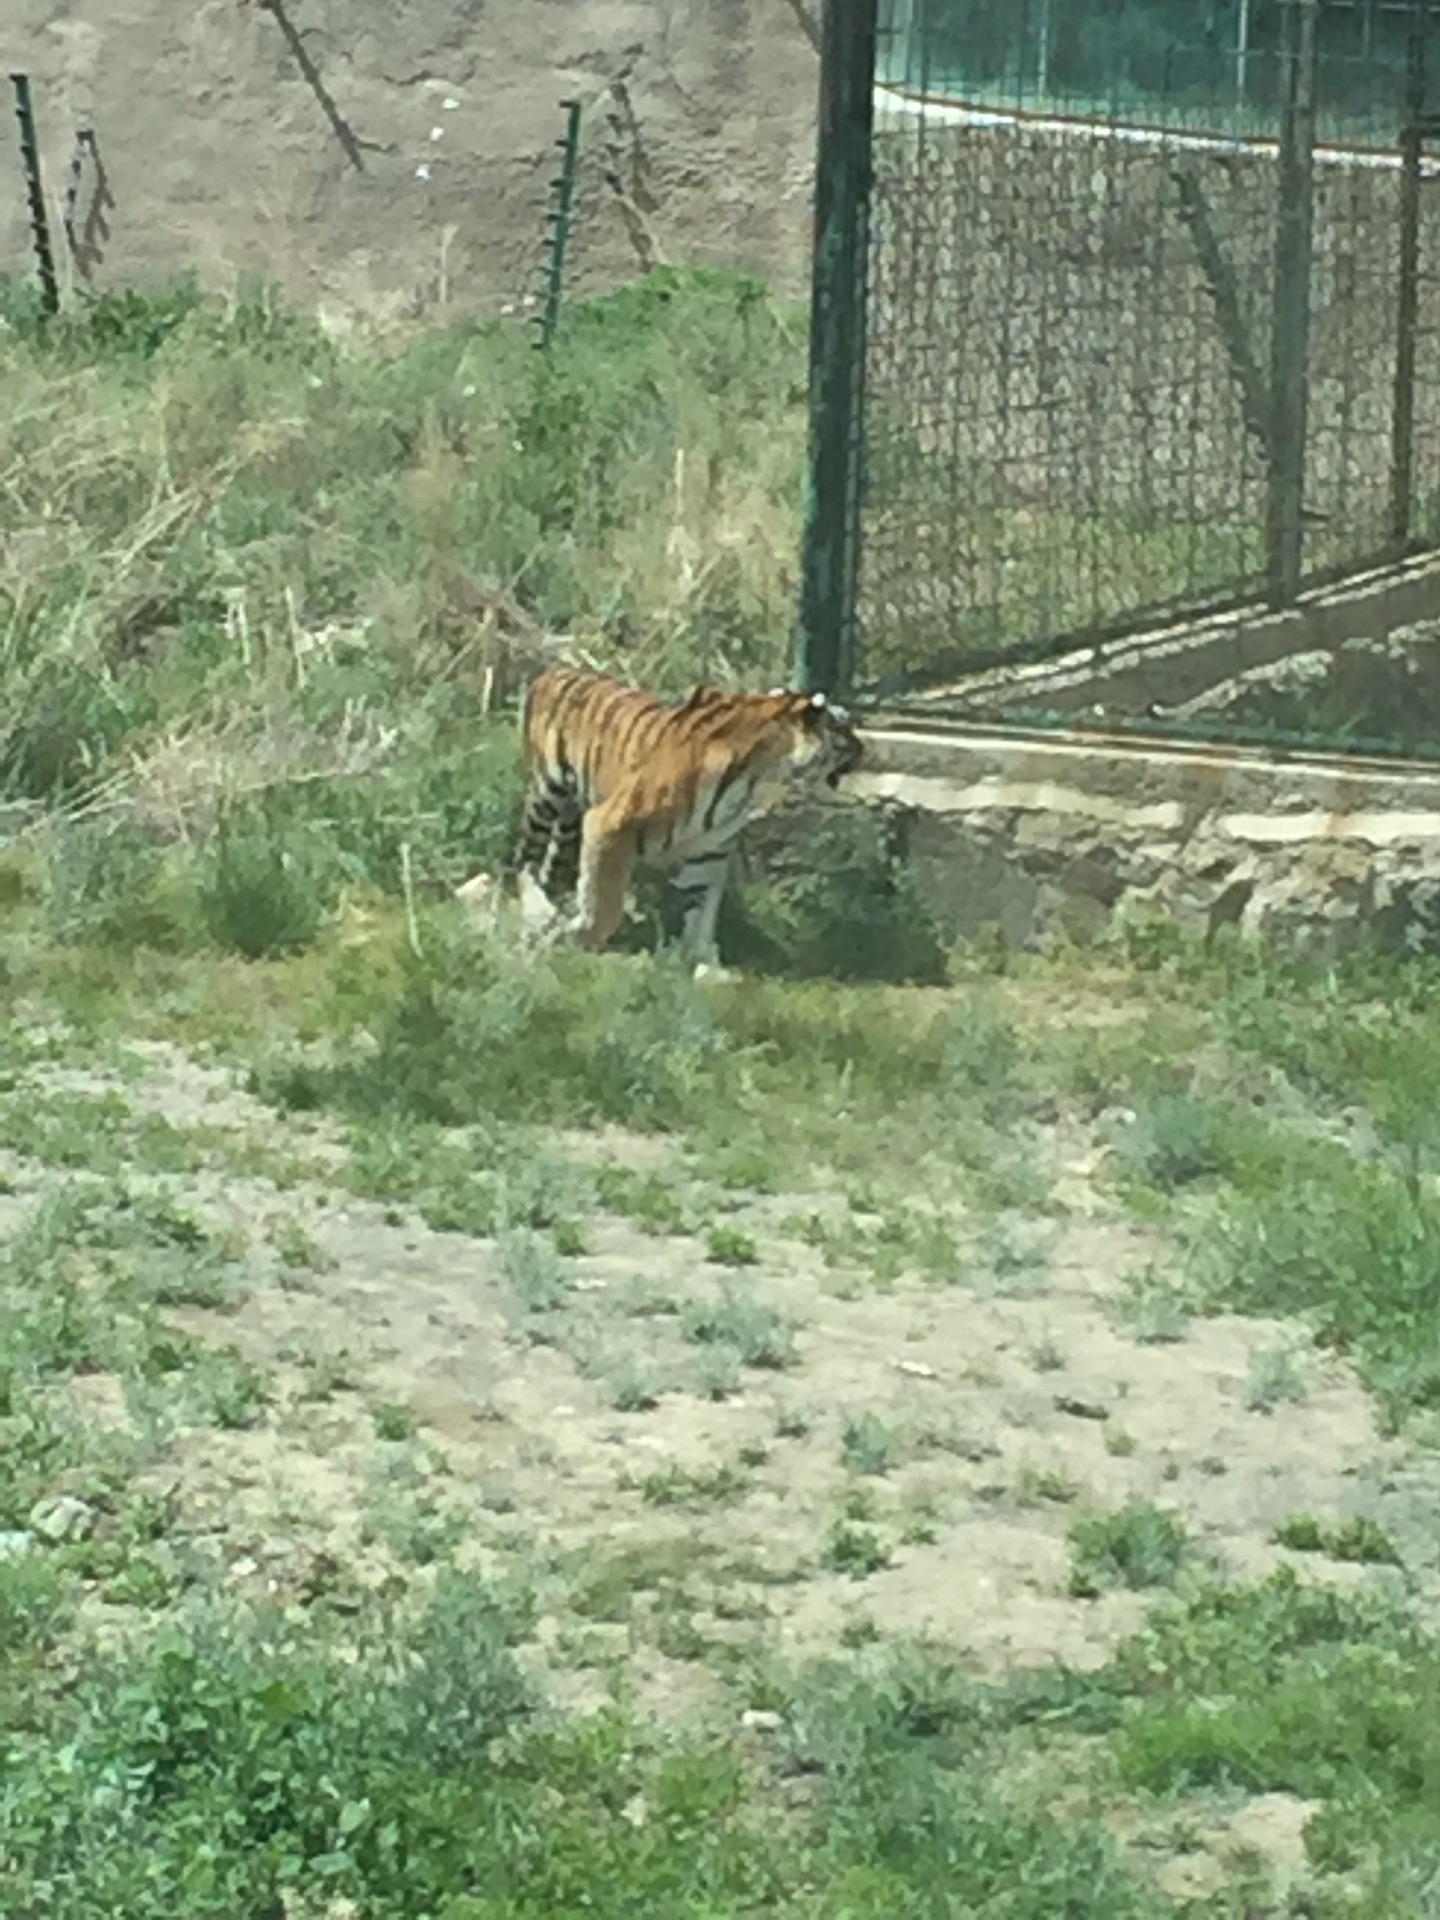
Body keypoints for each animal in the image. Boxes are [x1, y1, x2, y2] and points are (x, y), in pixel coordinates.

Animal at [474, 672, 864, 975]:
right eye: (843, 726)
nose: (864, 749)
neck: (758, 779)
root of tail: (552, 671)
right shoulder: (609, 824)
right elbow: (605, 904)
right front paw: (576, 938)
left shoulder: (709, 852)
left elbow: (702, 913)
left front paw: (702, 964)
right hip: (546, 794)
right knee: (521, 858)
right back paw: (513, 910)